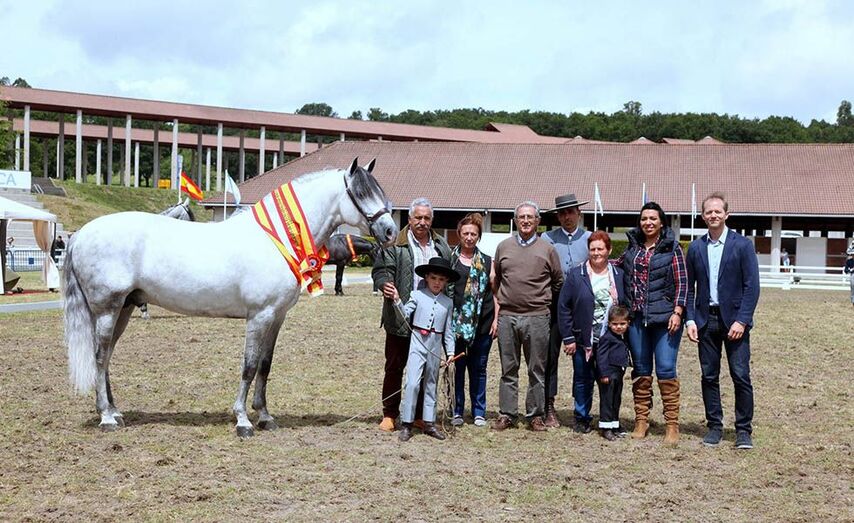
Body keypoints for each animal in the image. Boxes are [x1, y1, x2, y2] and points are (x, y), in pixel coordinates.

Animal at [63, 158, 398, 437]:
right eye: (361, 192)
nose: (390, 231)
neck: (275, 239)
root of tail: (79, 234)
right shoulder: (259, 316)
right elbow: (249, 366)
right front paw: (243, 420)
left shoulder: (276, 317)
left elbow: (265, 365)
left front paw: (265, 416)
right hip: (107, 309)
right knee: (99, 356)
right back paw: (107, 417)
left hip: (124, 308)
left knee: (106, 357)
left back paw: (115, 411)